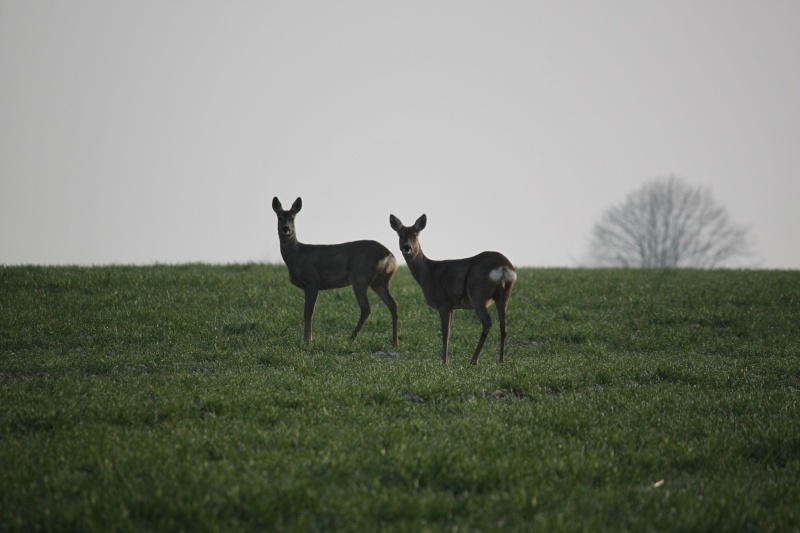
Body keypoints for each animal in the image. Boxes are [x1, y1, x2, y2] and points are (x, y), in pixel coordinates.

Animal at [276, 196, 400, 344]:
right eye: (279, 217)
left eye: (292, 218)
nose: (285, 228)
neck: (296, 255)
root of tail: (389, 256)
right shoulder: (308, 285)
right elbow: (306, 310)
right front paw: (307, 338)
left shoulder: (312, 280)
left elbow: (308, 311)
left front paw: (307, 339)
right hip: (380, 281)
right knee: (392, 304)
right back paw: (395, 342)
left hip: (360, 278)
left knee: (366, 308)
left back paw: (351, 338)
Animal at [390, 214, 516, 364]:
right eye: (400, 235)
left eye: (415, 235)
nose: (406, 247)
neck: (427, 273)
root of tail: (504, 267)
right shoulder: (452, 306)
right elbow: (449, 332)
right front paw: (446, 360)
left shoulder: (443, 301)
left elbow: (445, 333)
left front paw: (444, 362)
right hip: (504, 294)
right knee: (504, 325)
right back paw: (501, 360)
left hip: (477, 292)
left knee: (487, 322)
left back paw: (474, 360)